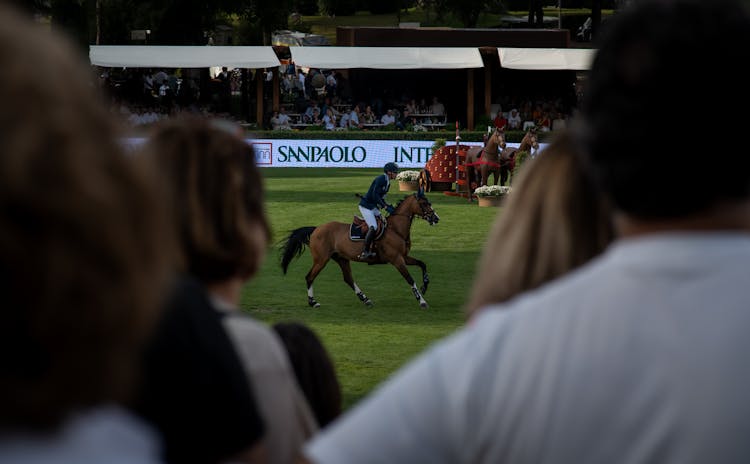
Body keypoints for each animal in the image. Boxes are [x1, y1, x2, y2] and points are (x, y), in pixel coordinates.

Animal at [280, 190, 440, 310]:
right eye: (424, 203)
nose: (436, 218)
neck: (396, 230)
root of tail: (316, 229)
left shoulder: (404, 257)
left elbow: (422, 264)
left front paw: (425, 286)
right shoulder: (397, 260)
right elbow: (410, 279)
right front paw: (422, 301)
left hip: (341, 258)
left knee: (348, 279)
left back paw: (365, 299)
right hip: (321, 259)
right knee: (310, 277)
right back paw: (313, 302)